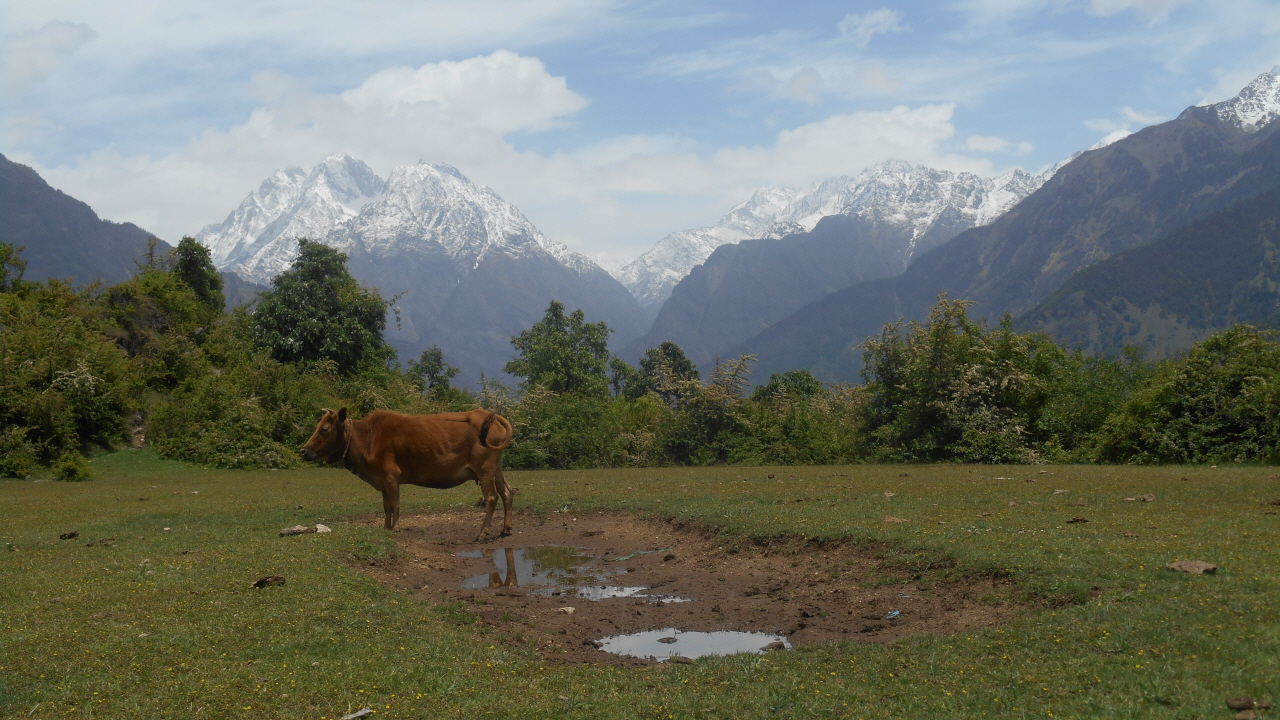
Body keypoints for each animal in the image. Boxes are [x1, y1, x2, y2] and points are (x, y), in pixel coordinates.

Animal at [299, 404, 514, 538]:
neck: (368, 437)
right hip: (496, 469)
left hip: (484, 470)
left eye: (325, 428)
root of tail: (490, 416)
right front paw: (386, 528)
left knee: (492, 497)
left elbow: (395, 505)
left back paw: (483, 533)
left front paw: (395, 528)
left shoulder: (391, 477)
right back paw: (505, 529)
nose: (304, 451)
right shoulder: (383, 481)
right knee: (507, 493)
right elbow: (386, 506)